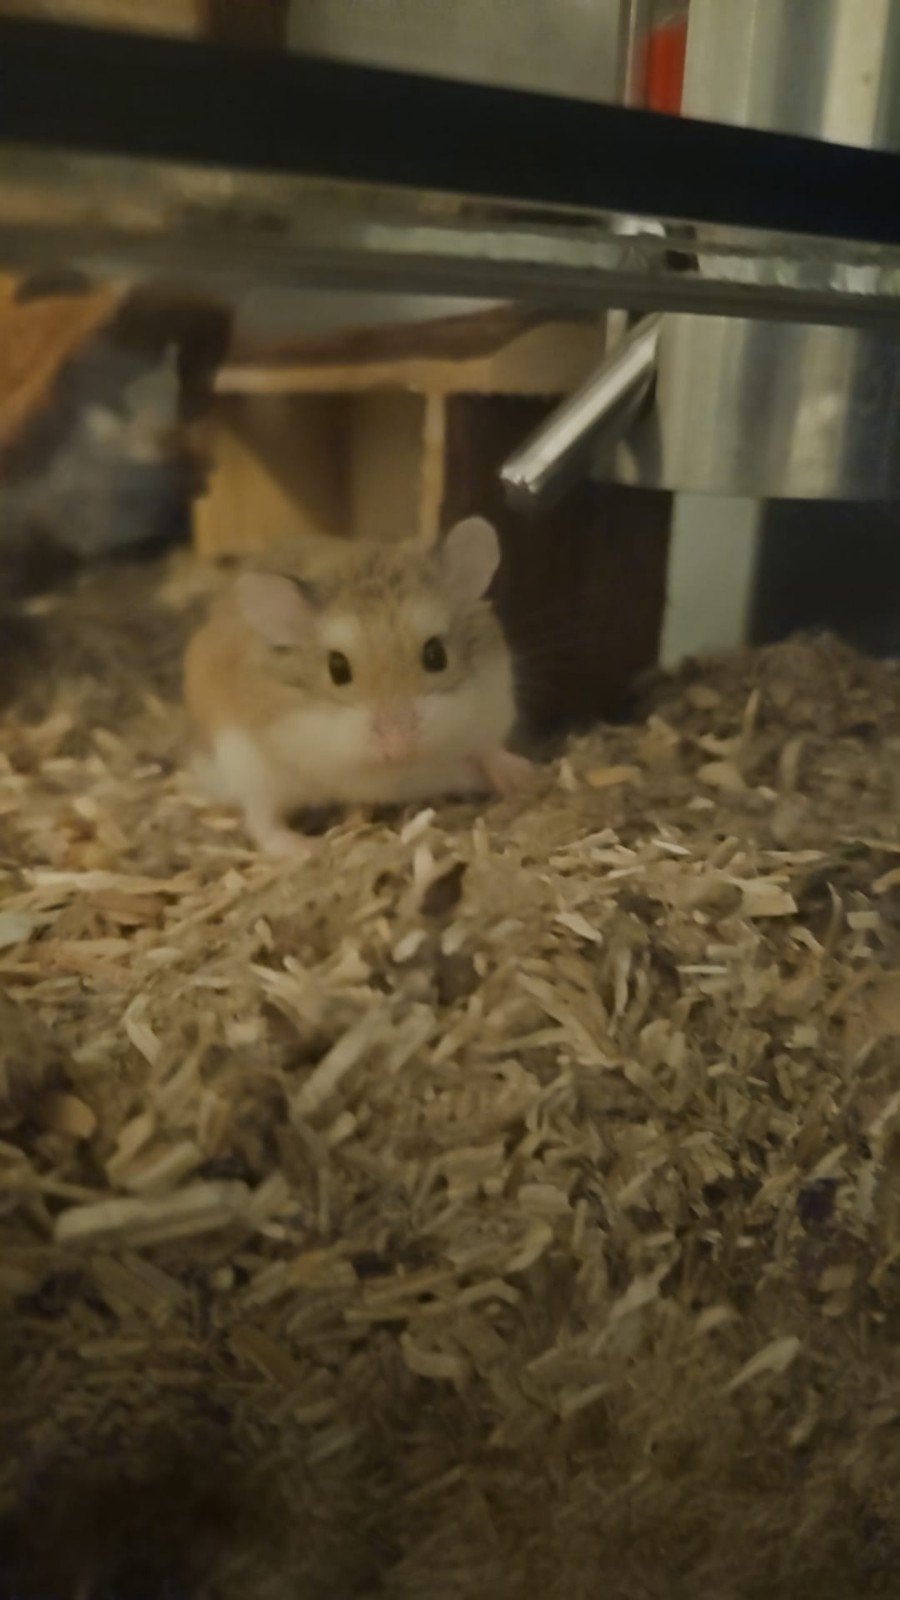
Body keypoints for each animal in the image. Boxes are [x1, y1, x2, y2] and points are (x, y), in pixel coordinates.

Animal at [183, 516, 533, 854]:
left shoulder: (491, 709)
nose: (400, 749)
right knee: (262, 820)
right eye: (337, 669)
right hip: (249, 770)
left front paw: (520, 776)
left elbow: (489, 749)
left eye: (436, 656)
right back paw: (304, 848)